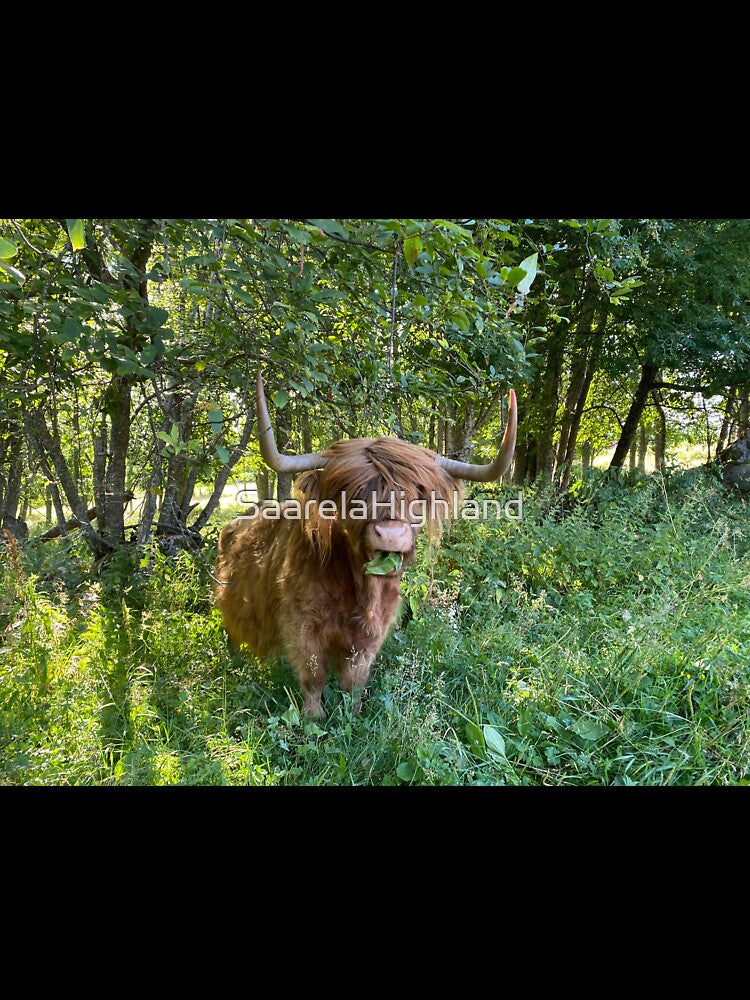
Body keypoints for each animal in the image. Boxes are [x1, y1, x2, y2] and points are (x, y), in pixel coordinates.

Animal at [214, 374, 517, 719]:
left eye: (418, 493)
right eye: (352, 494)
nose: (390, 534)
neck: (359, 591)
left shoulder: (374, 632)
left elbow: (355, 679)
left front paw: (353, 714)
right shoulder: (300, 624)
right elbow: (313, 676)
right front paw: (313, 718)